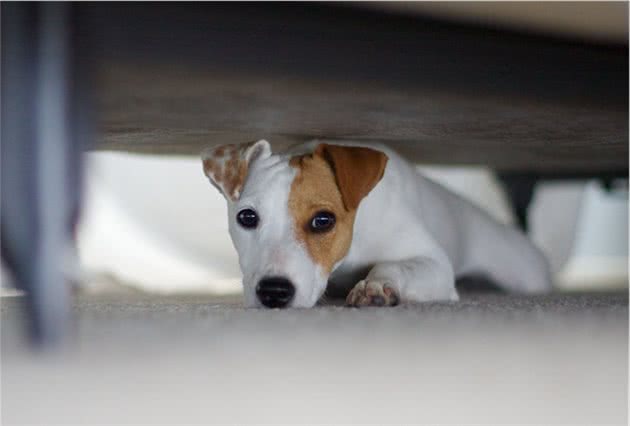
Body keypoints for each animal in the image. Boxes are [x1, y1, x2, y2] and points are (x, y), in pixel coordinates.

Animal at [202, 141, 552, 308]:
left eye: (323, 220)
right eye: (247, 217)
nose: (273, 292)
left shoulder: (434, 263)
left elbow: (394, 265)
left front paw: (375, 286)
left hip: (523, 274)